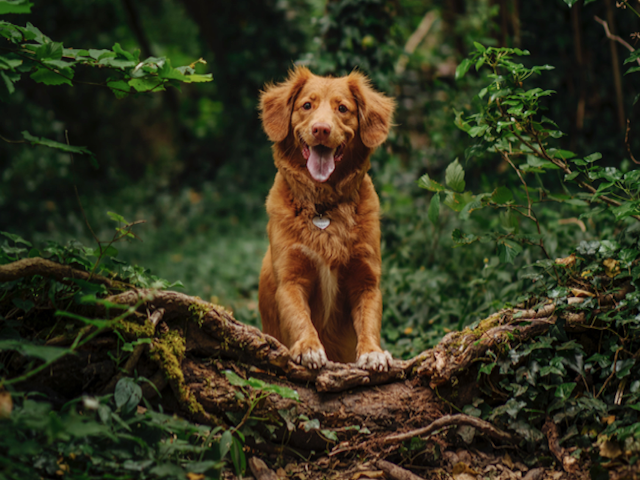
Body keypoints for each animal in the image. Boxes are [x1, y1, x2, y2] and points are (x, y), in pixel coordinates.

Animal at [258, 66, 392, 372]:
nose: (321, 129)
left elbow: (369, 321)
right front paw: (308, 347)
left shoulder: (366, 280)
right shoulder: (290, 279)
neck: (324, 207)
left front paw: (372, 352)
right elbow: (299, 317)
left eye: (342, 108)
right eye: (307, 105)